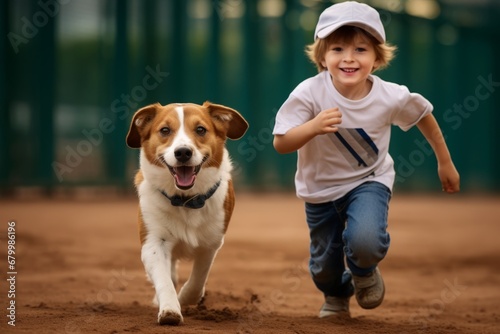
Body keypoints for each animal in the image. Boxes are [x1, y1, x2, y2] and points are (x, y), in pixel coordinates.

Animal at [126, 101, 249, 324]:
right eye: (165, 130)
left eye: (200, 129)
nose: (183, 152)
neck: (185, 200)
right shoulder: (153, 242)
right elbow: (164, 279)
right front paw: (169, 309)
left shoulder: (211, 244)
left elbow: (198, 280)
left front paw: (184, 298)